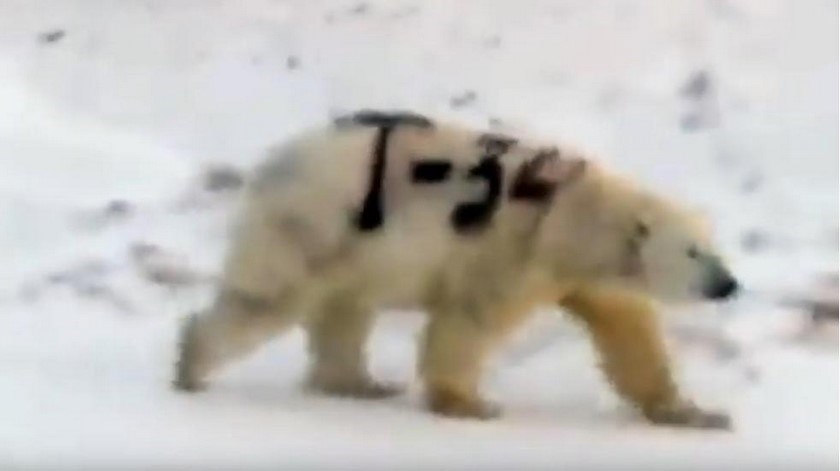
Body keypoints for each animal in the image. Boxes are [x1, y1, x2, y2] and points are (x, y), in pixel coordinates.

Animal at [173, 110, 740, 430]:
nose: (728, 284)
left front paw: (696, 414)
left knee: (344, 308)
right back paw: (192, 365)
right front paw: (470, 404)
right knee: (269, 297)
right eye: (693, 252)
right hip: (316, 221)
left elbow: (631, 336)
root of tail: (272, 163)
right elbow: (469, 319)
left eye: (716, 249)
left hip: (350, 243)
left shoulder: (588, 277)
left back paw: (361, 383)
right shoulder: (511, 252)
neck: (571, 214)